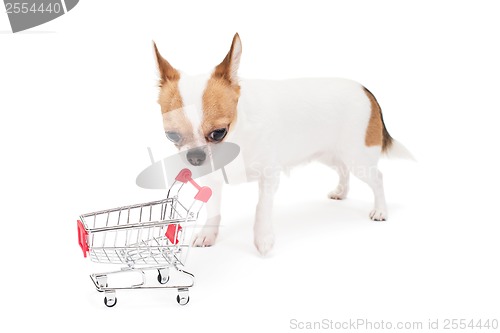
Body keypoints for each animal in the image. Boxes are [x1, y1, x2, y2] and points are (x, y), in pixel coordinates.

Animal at [154, 32, 412, 254]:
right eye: (172, 136)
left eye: (218, 133)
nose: (195, 157)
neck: (237, 139)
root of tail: (365, 90)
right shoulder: (212, 178)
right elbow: (214, 209)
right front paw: (208, 234)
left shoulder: (268, 176)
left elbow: (262, 207)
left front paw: (263, 239)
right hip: (330, 153)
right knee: (342, 169)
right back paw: (341, 192)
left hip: (358, 156)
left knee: (377, 178)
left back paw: (380, 210)